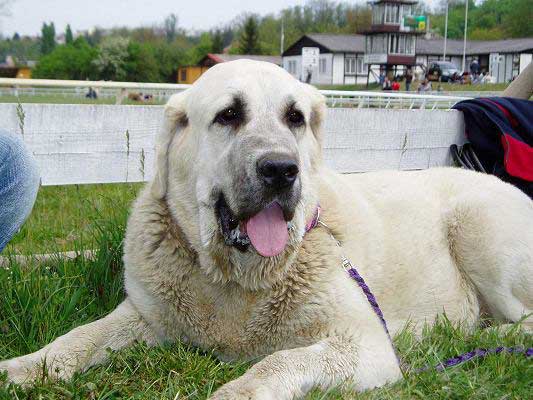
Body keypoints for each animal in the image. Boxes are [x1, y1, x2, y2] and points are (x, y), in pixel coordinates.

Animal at [1, 60, 532, 400]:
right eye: (228, 115)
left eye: (295, 118)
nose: (281, 169)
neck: (234, 278)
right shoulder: (146, 316)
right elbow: (79, 337)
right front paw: (26, 368)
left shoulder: (364, 344)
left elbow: (280, 360)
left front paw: (239, 390)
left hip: (477, 224)